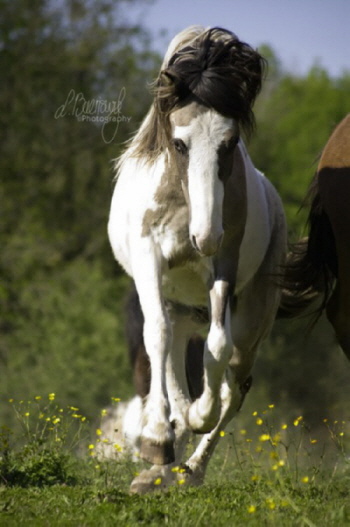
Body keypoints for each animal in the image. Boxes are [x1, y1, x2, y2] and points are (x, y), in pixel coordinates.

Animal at [107, 26, 288, 492]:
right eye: (178, 142)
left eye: (230, 142)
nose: (203, 237)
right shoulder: (149, 259)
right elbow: (155, 337)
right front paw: (157, 438)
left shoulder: (223, 263)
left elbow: (216, 349)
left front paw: (195, 419)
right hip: (180, 306)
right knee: (170, 349)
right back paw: (162, 460)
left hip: (251, 318)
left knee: (234, 387)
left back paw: (192, 466)